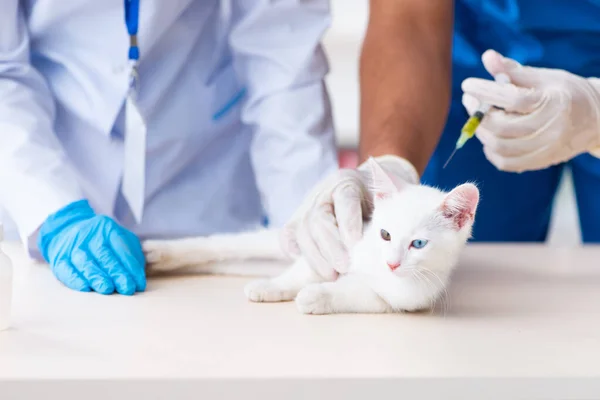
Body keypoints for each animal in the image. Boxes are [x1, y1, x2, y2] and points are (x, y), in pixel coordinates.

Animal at [143, 158, 480, 314]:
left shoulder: (402, 299)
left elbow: (358, 294)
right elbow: (302, 271)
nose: (393, 264)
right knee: (223, 244)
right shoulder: (335, 246)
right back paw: (157, 251)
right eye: (385, 234)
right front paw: (273, 287)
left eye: (418, 244)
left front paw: (316, 296)